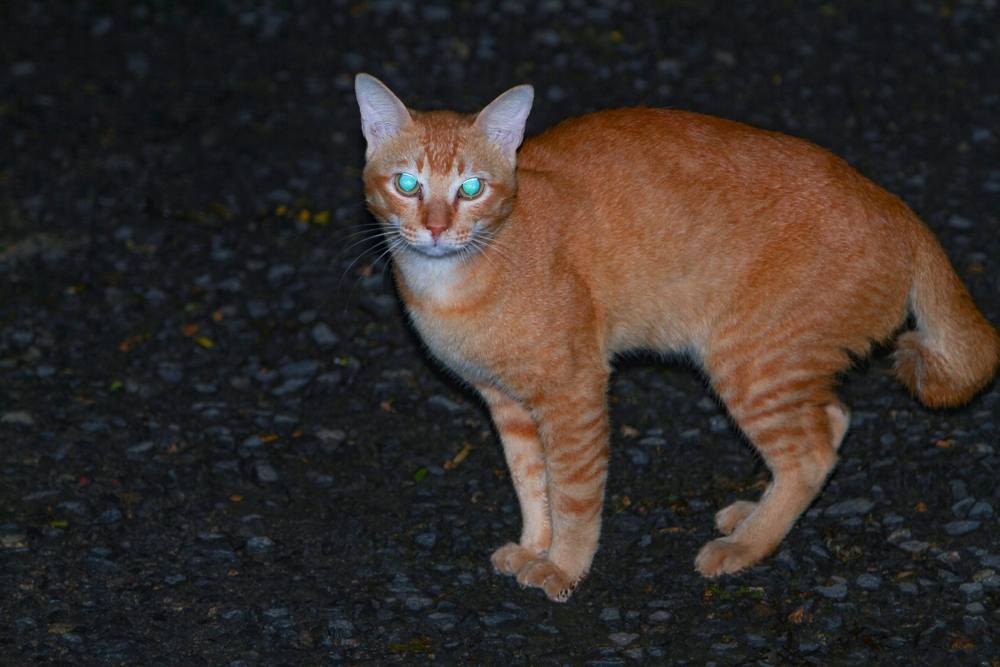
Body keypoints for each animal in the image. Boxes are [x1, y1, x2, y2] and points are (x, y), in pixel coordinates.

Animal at [354, 74, 1000, 604]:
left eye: (472, 189)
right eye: (407, 184)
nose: (437, 229)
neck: (458, 282)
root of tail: (897, 209)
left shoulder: (573, 394)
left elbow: (574, 493)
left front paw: (564, 565)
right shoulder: (508, 405)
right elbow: (531, 483)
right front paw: (536, 544)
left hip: (748, 362)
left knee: (811, 453)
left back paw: (747, 546)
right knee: (832, 421)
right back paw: (754, 517)